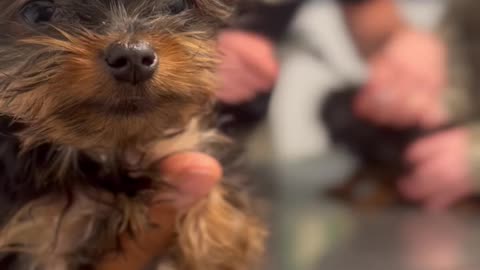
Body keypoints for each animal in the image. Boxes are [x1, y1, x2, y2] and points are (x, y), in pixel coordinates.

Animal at [0, 0, 264, 270]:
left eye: (177, 6)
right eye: (38, 13)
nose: (132, 56)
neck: (112, 148)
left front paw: (219, 242)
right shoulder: (40, 233)